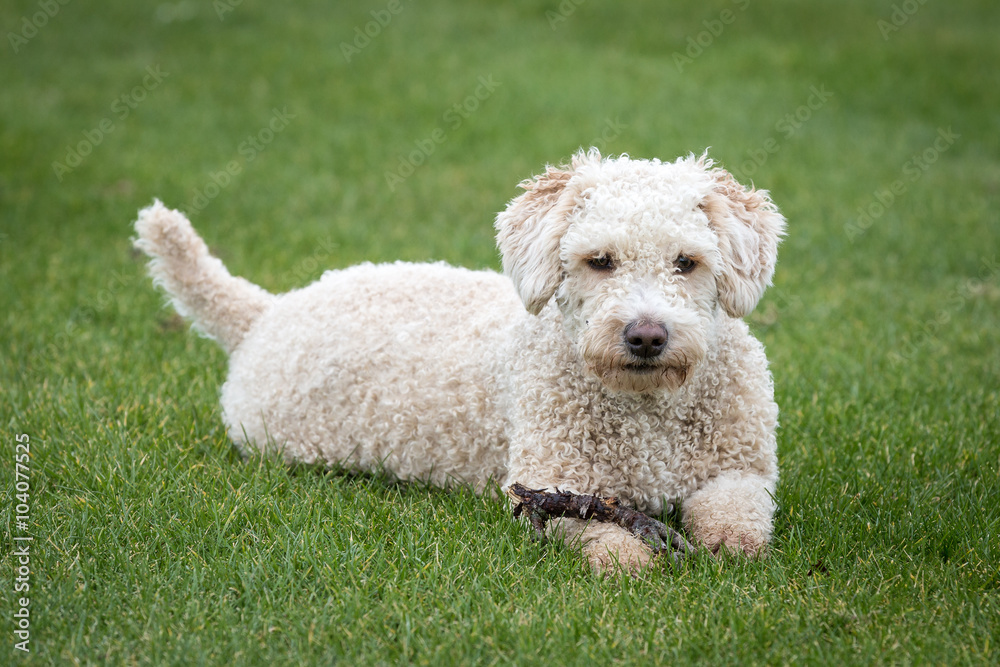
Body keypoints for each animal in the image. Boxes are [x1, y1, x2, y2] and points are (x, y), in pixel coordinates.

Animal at [135, 149, 788, 572]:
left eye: (686, 262)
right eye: (600, 261)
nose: (646, 336)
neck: (647, 408)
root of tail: (264, 312)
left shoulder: (742, 467)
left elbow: (740, 515)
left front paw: (728, 547)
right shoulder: (549, 480)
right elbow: (599, 532)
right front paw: (629, 556)